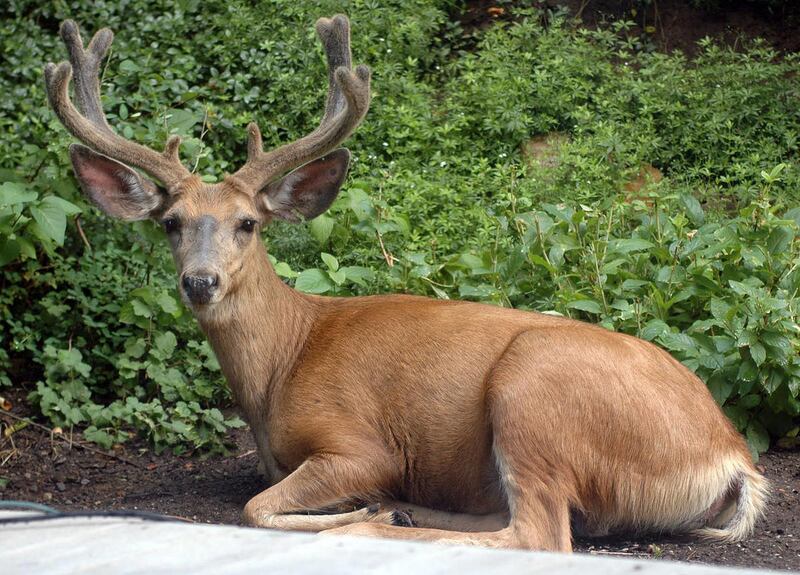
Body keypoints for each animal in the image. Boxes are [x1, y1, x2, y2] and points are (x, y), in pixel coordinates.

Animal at [44, 16, 767, 551]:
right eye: (171, 222)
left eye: (247, 222)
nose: (201, 280)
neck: (281, 362)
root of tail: (732, 457)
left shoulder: (358, 442)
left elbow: (255, 506)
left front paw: (353, 510)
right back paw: (407, 509)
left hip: (534, 390)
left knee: (539, 533)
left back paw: (381, 518)